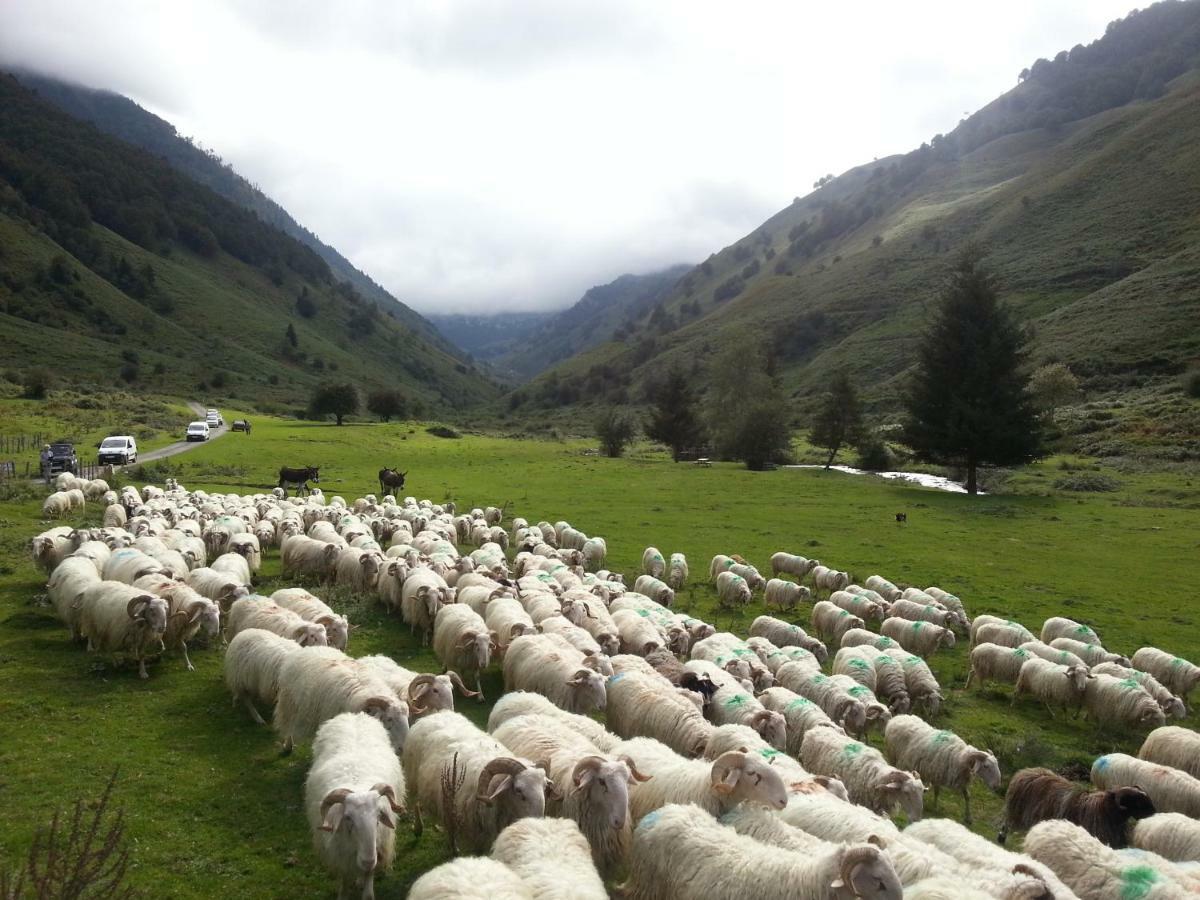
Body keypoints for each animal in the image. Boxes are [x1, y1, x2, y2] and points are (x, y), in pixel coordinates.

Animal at [304, 715, 403, 900]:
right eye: (348, 818)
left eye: (379, 816)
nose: (368, 861)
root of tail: (354, 715)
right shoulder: (342, 855)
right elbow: (344, 883)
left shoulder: (376, 849)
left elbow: (368, 892)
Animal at [998, 763, 1156, 849]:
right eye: (1137, 802)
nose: (1154, 813)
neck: (1105, 810)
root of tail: (1025, 772)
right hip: (1016, 811)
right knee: (1006, 825)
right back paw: (1001, 838)